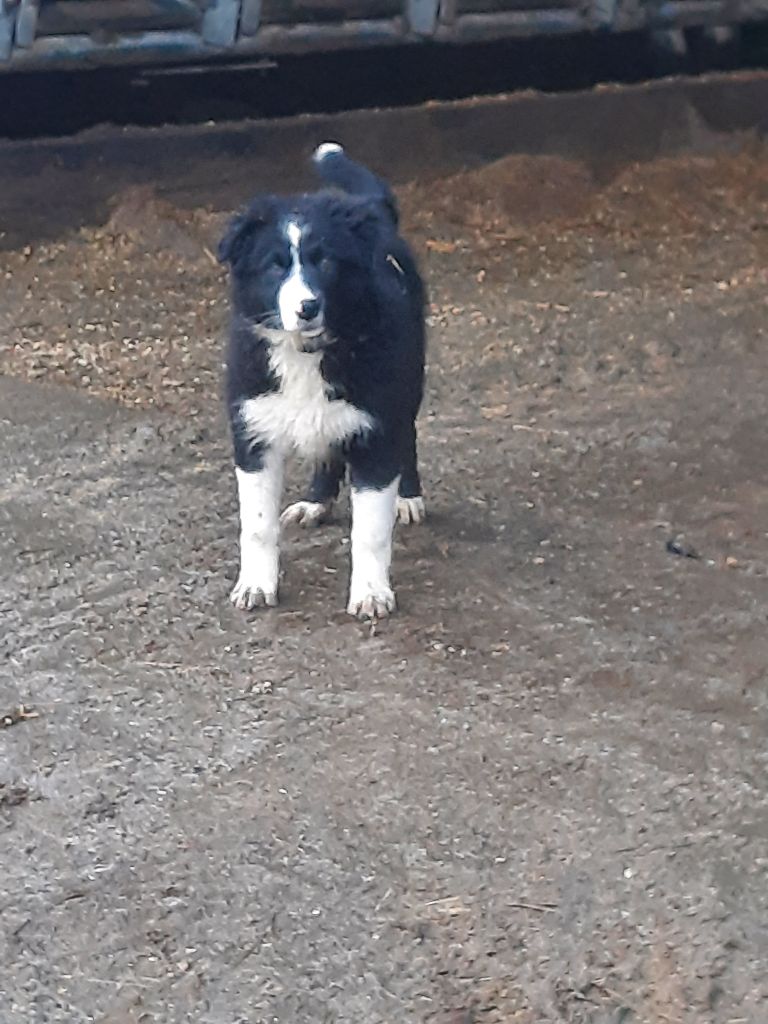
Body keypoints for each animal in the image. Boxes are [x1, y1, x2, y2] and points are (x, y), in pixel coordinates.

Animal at [218, 143, 426, 619]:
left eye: (326, 261)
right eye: (275, 266)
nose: (308, 307)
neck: (304, 353)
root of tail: (370, 210)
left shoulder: (375, 430)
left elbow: (370, 531)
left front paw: (371, 594)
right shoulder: (253, 432)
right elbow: (256, 525)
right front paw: (255, 586)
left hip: (407, 381)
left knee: (408, 433)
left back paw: (408, 497)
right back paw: (315, 502)